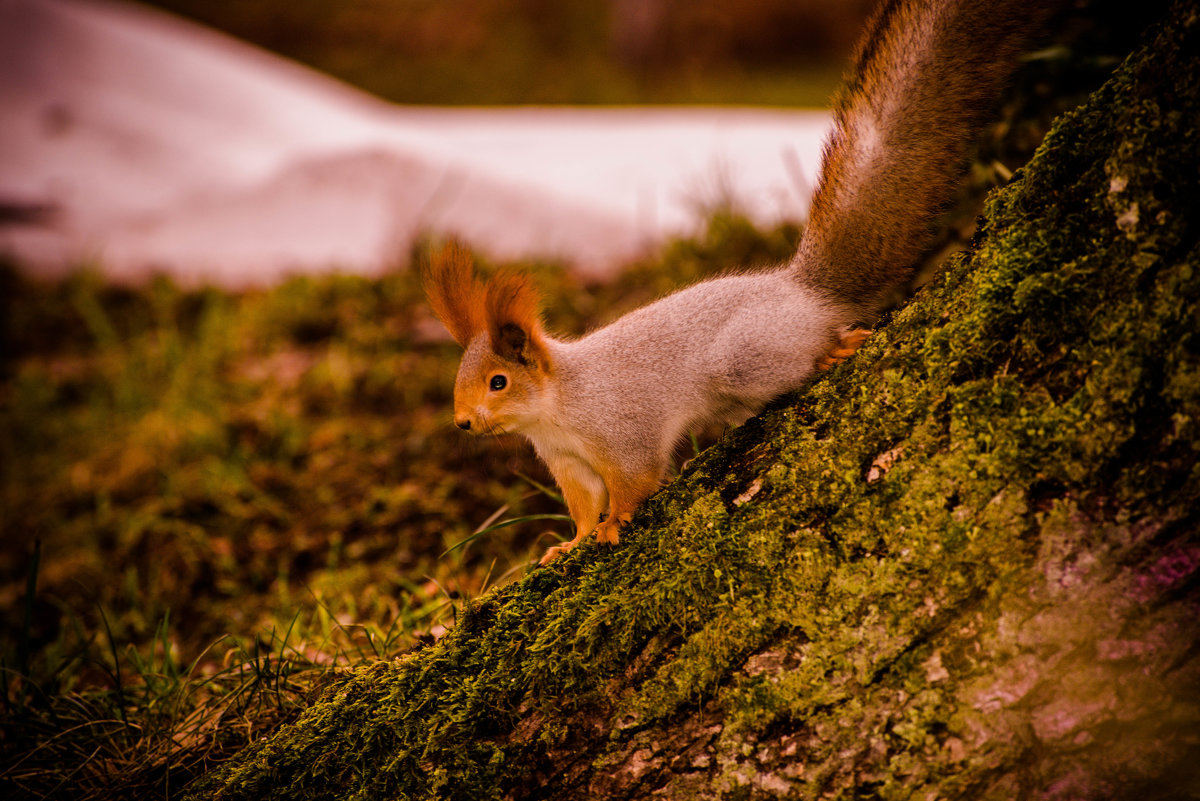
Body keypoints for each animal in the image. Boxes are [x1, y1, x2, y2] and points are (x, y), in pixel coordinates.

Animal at [424, 0, 1051, 563]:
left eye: (499, 382)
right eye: (463, 378)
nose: (462, 422)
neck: (558, 407)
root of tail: (804, 292)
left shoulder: (622, 429)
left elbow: (634, 480)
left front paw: (615, 523)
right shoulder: (568, 463)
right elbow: (582, 506)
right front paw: (571, 543)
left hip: (746, 358)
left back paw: (831, 350)